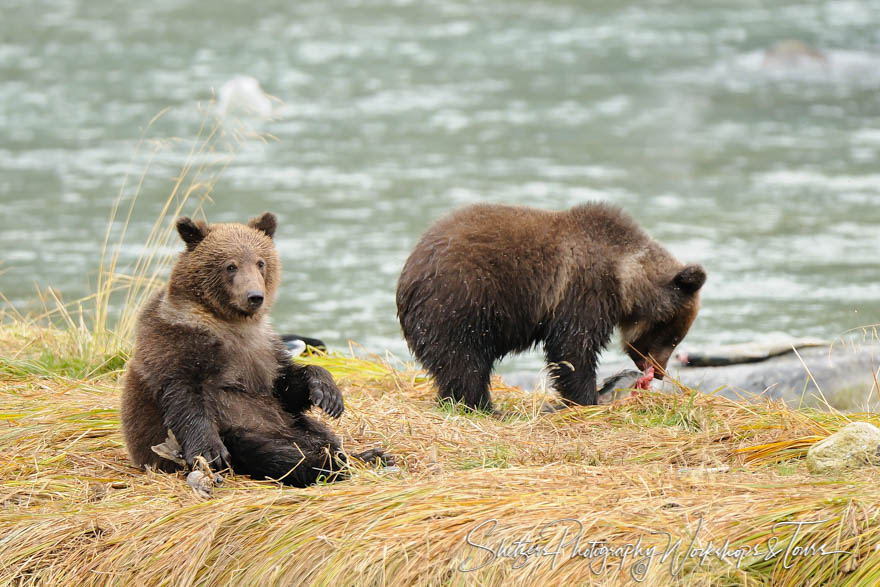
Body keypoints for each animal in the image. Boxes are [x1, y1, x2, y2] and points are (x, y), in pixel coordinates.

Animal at [121, 211, 384, 486]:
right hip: (244, 432)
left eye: (260, 262)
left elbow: (285, 386)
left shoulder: (263, 349)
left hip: (293, 424)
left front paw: (328, 395)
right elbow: (185, 397)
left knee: (320, 434)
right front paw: (211, 452)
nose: (255, 296)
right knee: (267, 450)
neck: (232, 322)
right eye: (231, 265)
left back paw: (368, 455)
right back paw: (325, 463)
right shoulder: (177, 343)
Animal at [398, 204, 708, 412]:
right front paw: (587, 398)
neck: (624, 276)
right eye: (673, 336)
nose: (658, 371)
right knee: (463, 361)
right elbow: (573, 348)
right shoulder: (584, 290)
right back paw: (482, 406)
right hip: (461, 302)